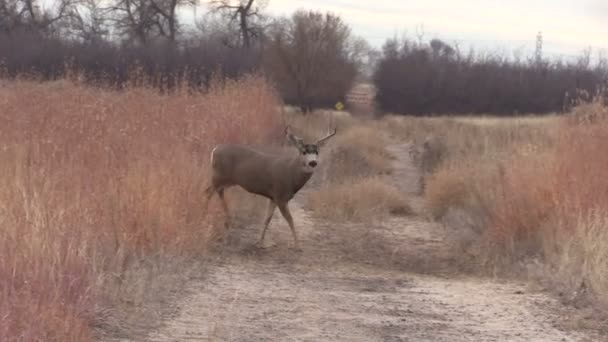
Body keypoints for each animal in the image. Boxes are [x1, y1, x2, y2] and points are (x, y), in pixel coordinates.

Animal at [203, 125, 338, 251]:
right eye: (304, 152)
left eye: (317, 152)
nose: (313, 163)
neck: (291, 174)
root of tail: (214, 150)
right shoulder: (280, 195)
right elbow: (290, 219)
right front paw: (297, 246)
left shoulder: (273, 197)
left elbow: (267, 219)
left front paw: (260, 243)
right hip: (218, 176)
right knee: (208, 192)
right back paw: (212, 216)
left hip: (226, 180)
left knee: (216, 191)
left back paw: (226, 220)